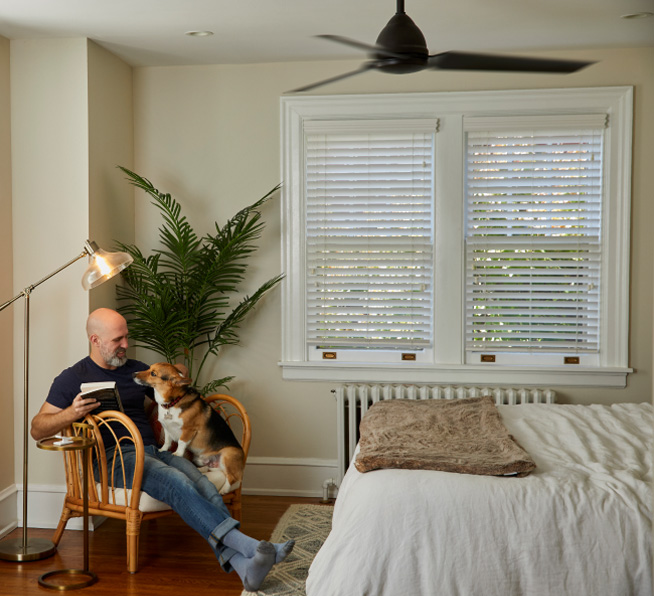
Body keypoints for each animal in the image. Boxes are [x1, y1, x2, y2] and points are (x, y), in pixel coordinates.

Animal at [134, 364, 246, 494]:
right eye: (149, 368)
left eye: (153, 373)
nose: (133, 374)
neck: (172, 402)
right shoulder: (167, 429)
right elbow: (167, 441)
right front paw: (162, 450)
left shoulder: (188, 430)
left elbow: (181, 442)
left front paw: (177, 454)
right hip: (201, 460)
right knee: (217, 470)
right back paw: (202, 470)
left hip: (227, 455)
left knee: (233, 478)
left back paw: (223, 490)